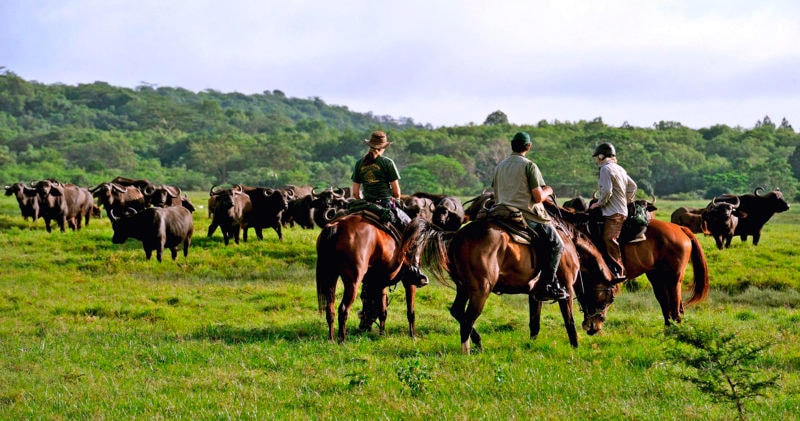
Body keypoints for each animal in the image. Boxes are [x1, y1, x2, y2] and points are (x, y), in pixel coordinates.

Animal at [316, 213, 424, 342]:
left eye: (366, 302)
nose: (363, 327)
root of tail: (336, 227)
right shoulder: (409, 282)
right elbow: (410, 311)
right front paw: (413, 336)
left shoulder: (380, 284)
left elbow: (383, 310)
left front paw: (382, 334)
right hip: (353, 282)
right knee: (343, 309)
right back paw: (341, 340)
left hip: (331, 278)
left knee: (330, 310)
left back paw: (331, 339)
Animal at [400, 209, 620, 352]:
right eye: (609, 299)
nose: (595, 327)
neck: (569, 244)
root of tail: (458, 235)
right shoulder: (566, 288)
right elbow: (569, 320)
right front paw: (575, 346)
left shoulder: (536, 292)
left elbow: (534, 322)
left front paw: (532, 345)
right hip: (481, 291)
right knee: (468, 318)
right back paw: (467, 350)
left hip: (464, 288)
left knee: (457, 312)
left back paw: (477, 341)